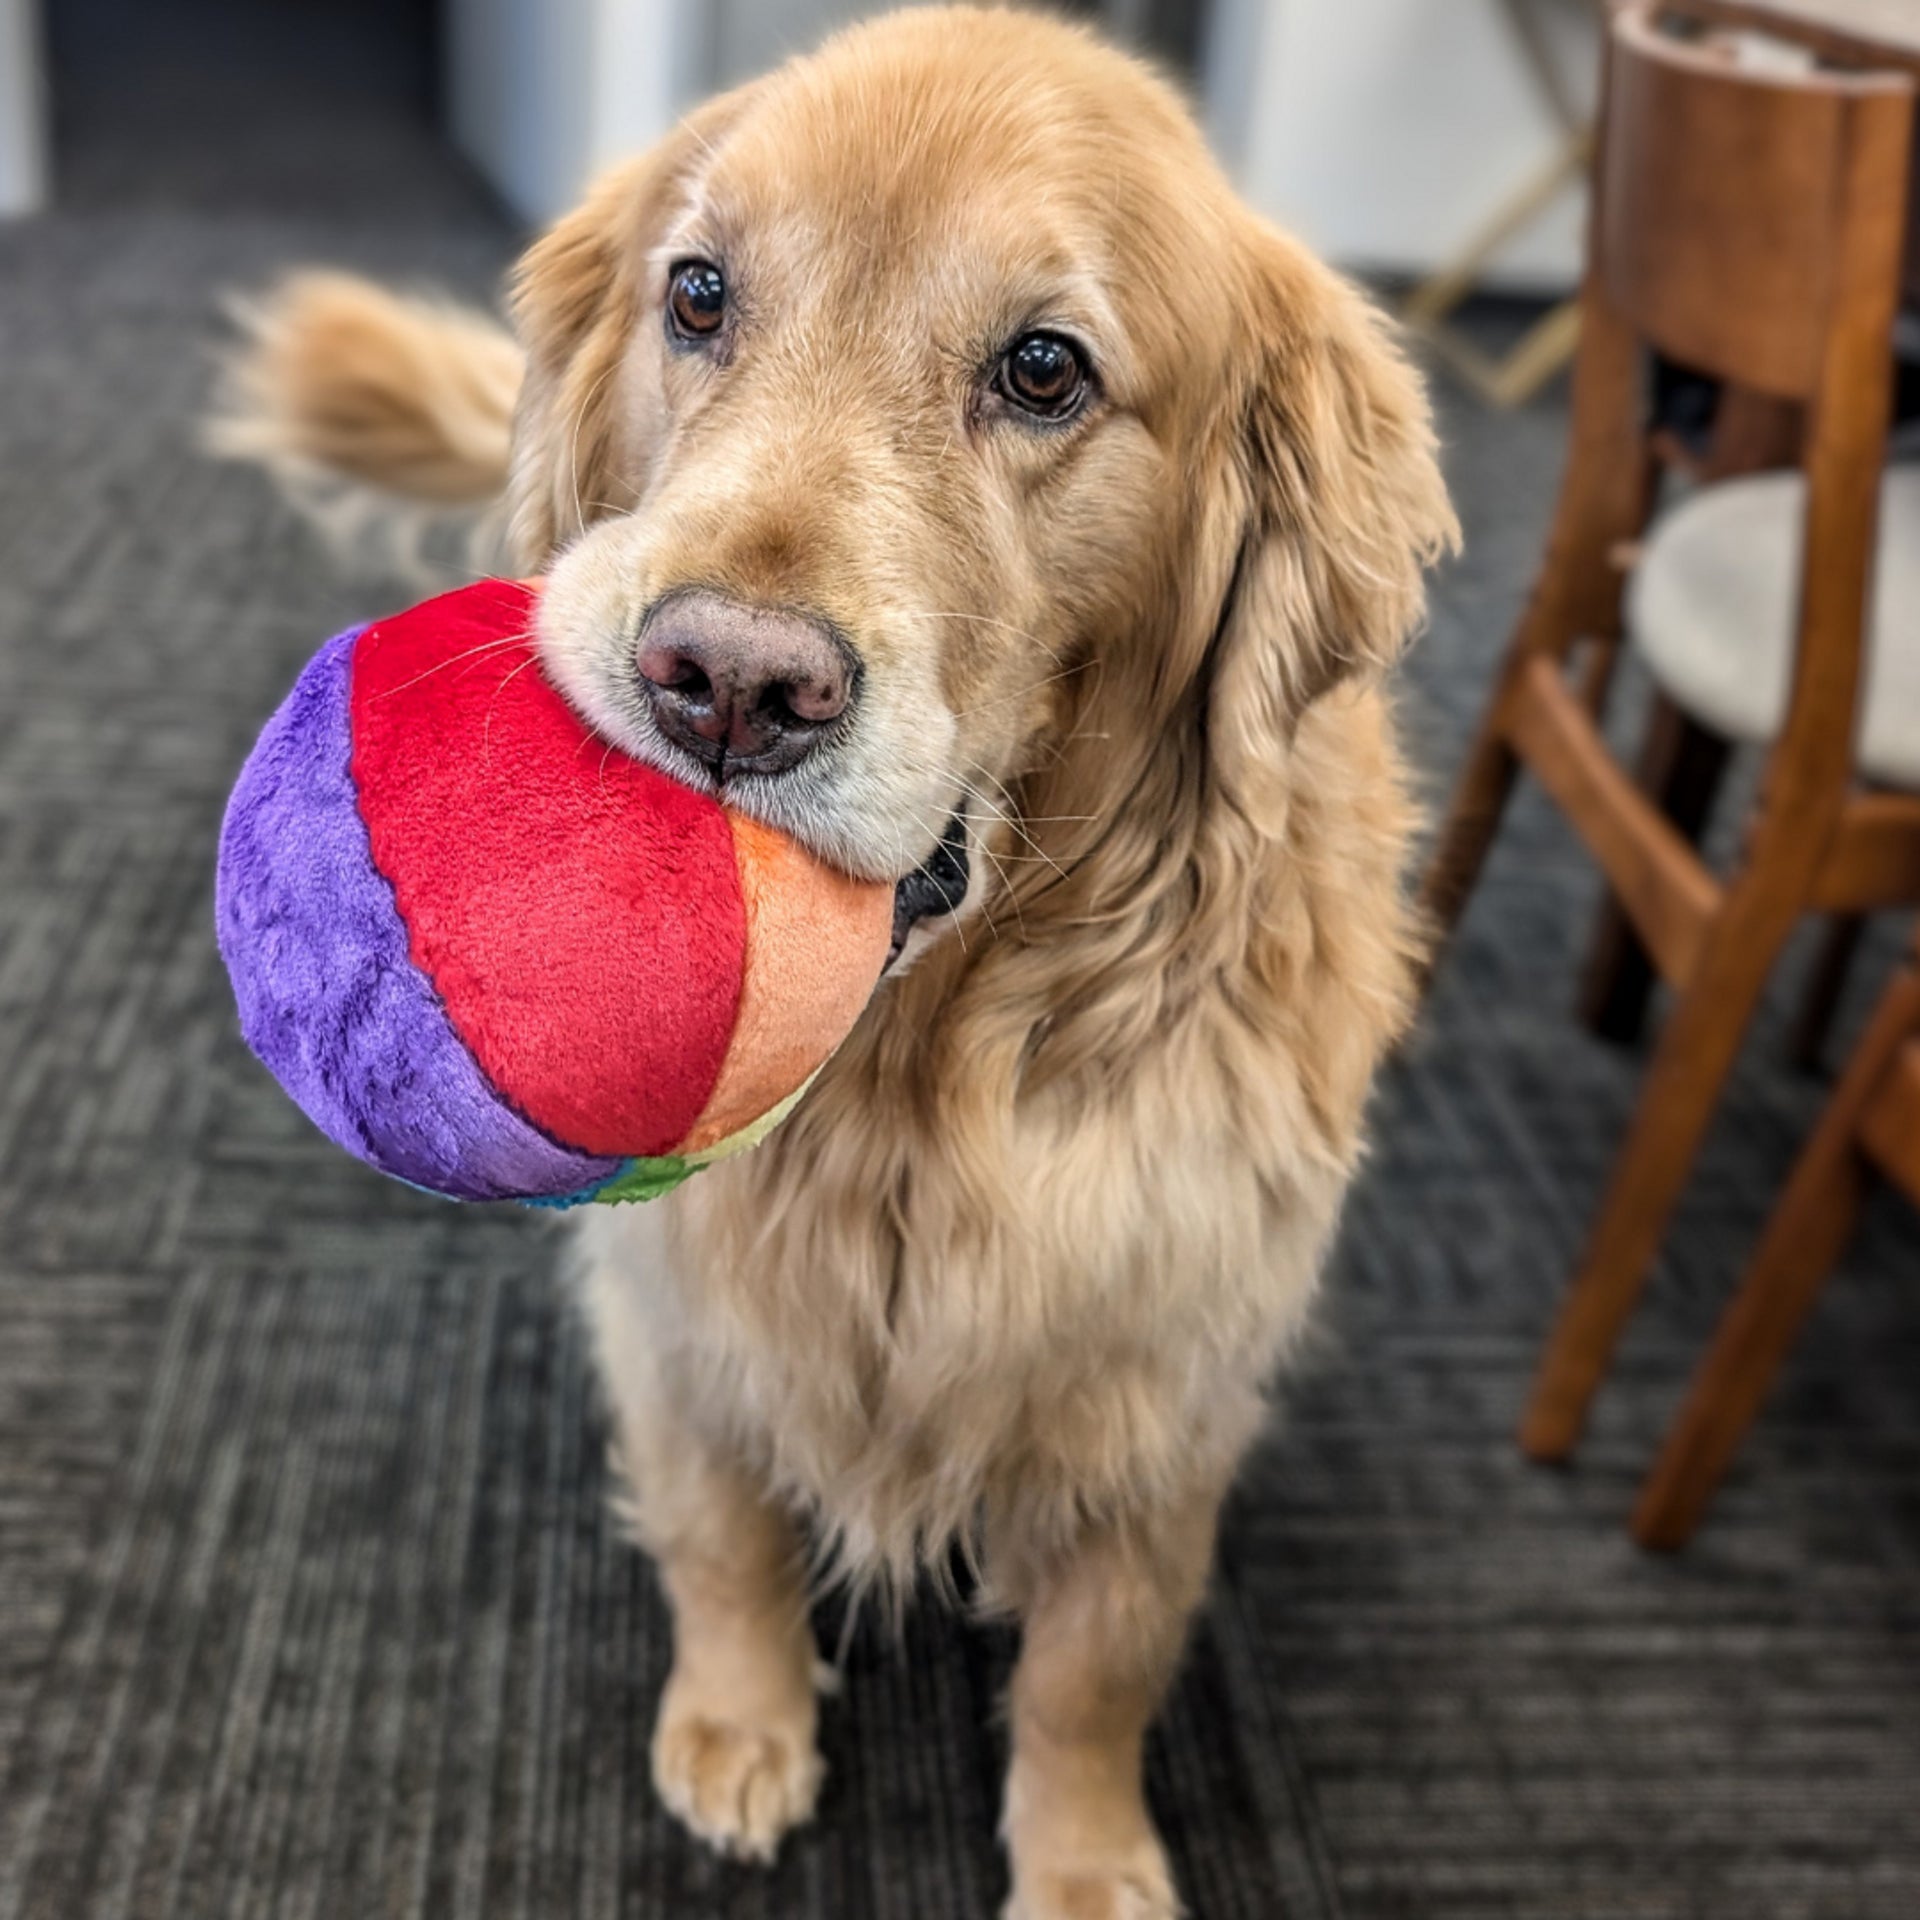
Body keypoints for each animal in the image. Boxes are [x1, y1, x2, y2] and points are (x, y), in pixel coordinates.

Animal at [217, 11, 1451, 1904]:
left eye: (1044, 368)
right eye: (699, 295)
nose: (725, 681)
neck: (915, 1076)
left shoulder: (1171, 1378)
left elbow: (1098, 1662)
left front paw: (1084, 1860)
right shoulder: (679, 1311)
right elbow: (723, 1533)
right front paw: (739, 1725)